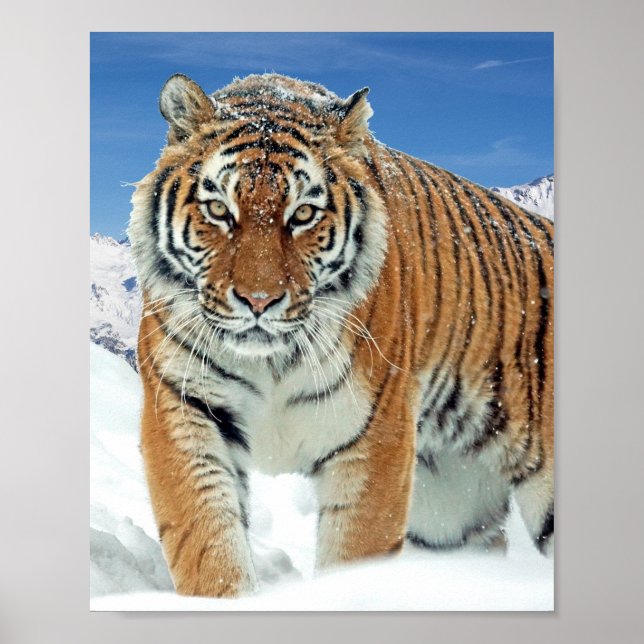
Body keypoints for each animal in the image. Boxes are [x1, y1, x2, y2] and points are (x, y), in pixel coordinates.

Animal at [128, 72, 554, 598]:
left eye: (302, 215)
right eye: (219, 210)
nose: (258, 301)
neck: (271, 362)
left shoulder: (375, 434)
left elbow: (355, 553)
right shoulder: (183, 407)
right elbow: (208, 544)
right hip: (449, 512)